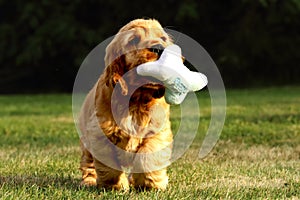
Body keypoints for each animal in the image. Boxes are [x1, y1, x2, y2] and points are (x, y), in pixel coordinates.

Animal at [79, 18, 173, 191]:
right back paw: (89, 181)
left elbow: (148, 156)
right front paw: (116, 186)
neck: (137, 99)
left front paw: (149, 184)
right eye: (133, 40)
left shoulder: (157, 132)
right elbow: (109, 166)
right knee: (88, 164)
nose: (159, 48)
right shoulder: (101, 134)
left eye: (163, 39)